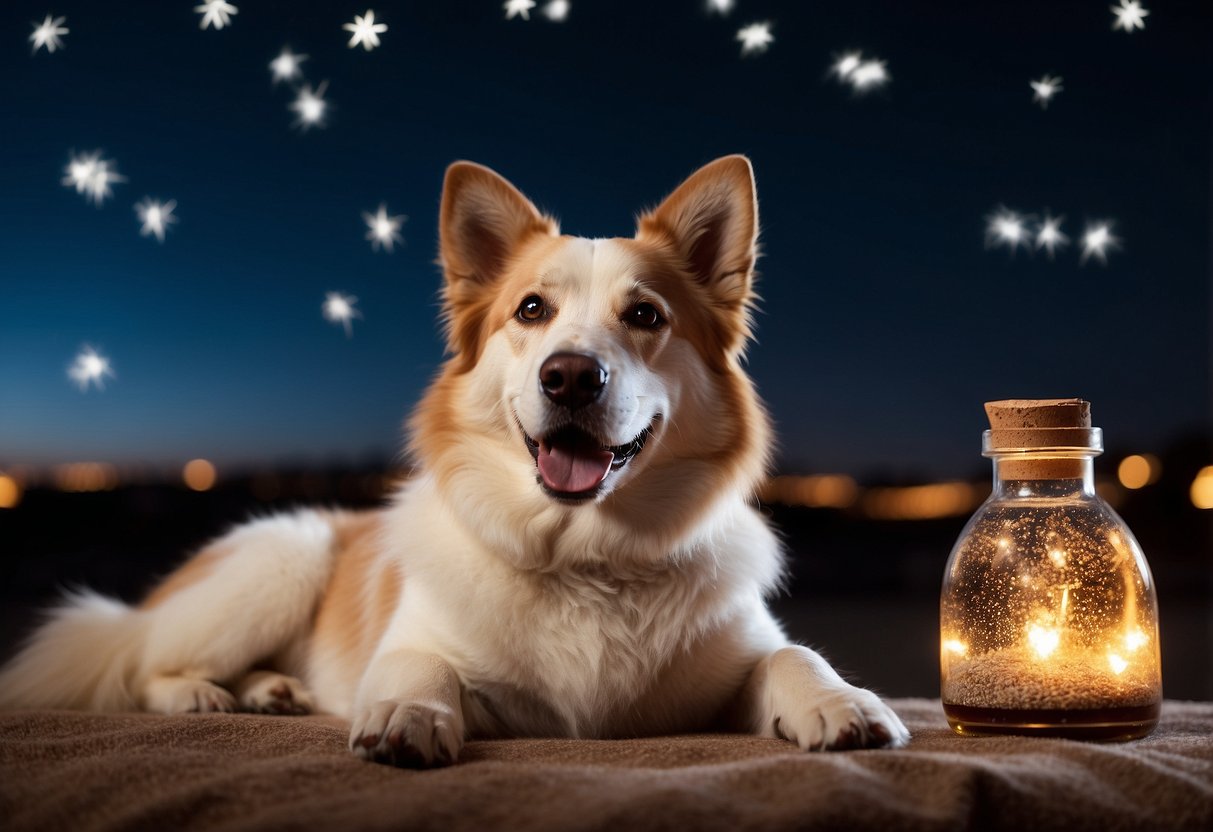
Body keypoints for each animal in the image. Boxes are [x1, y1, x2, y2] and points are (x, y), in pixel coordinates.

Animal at [0, 156, 912, 771]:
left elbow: (795, 655)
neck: (586, 555)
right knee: (140, 665)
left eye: (645, 315)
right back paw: (204, 694)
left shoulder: (743, 655)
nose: (570, 376)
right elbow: (417, 664)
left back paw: (272, 691)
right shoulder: (420, 639)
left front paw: (841, 702)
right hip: (278, 562)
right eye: (531, 310)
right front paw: (408, 713)